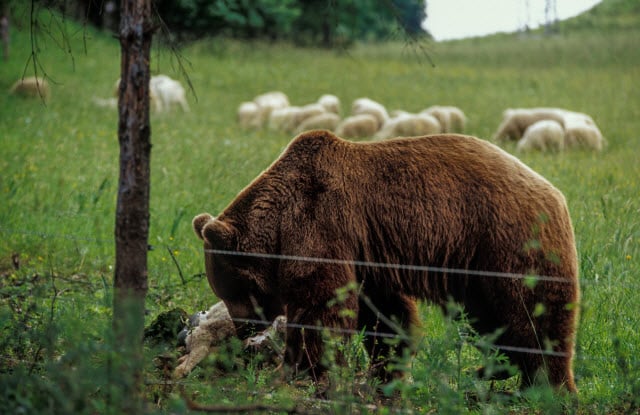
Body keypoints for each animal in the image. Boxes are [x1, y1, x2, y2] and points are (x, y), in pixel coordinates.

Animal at [191, 130, 580, 394]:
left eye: (229, 290)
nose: (243, 328)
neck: (278, 226)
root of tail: (556, 193)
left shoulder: (321, 224)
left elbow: (321, 307)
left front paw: (300, 371)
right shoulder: (367, 256)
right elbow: (384, 316)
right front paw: (385, 372)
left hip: (507, 242)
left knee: (534, 314)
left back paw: (548, 387)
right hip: (476, 271)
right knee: (492, 320)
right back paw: (495, 373)